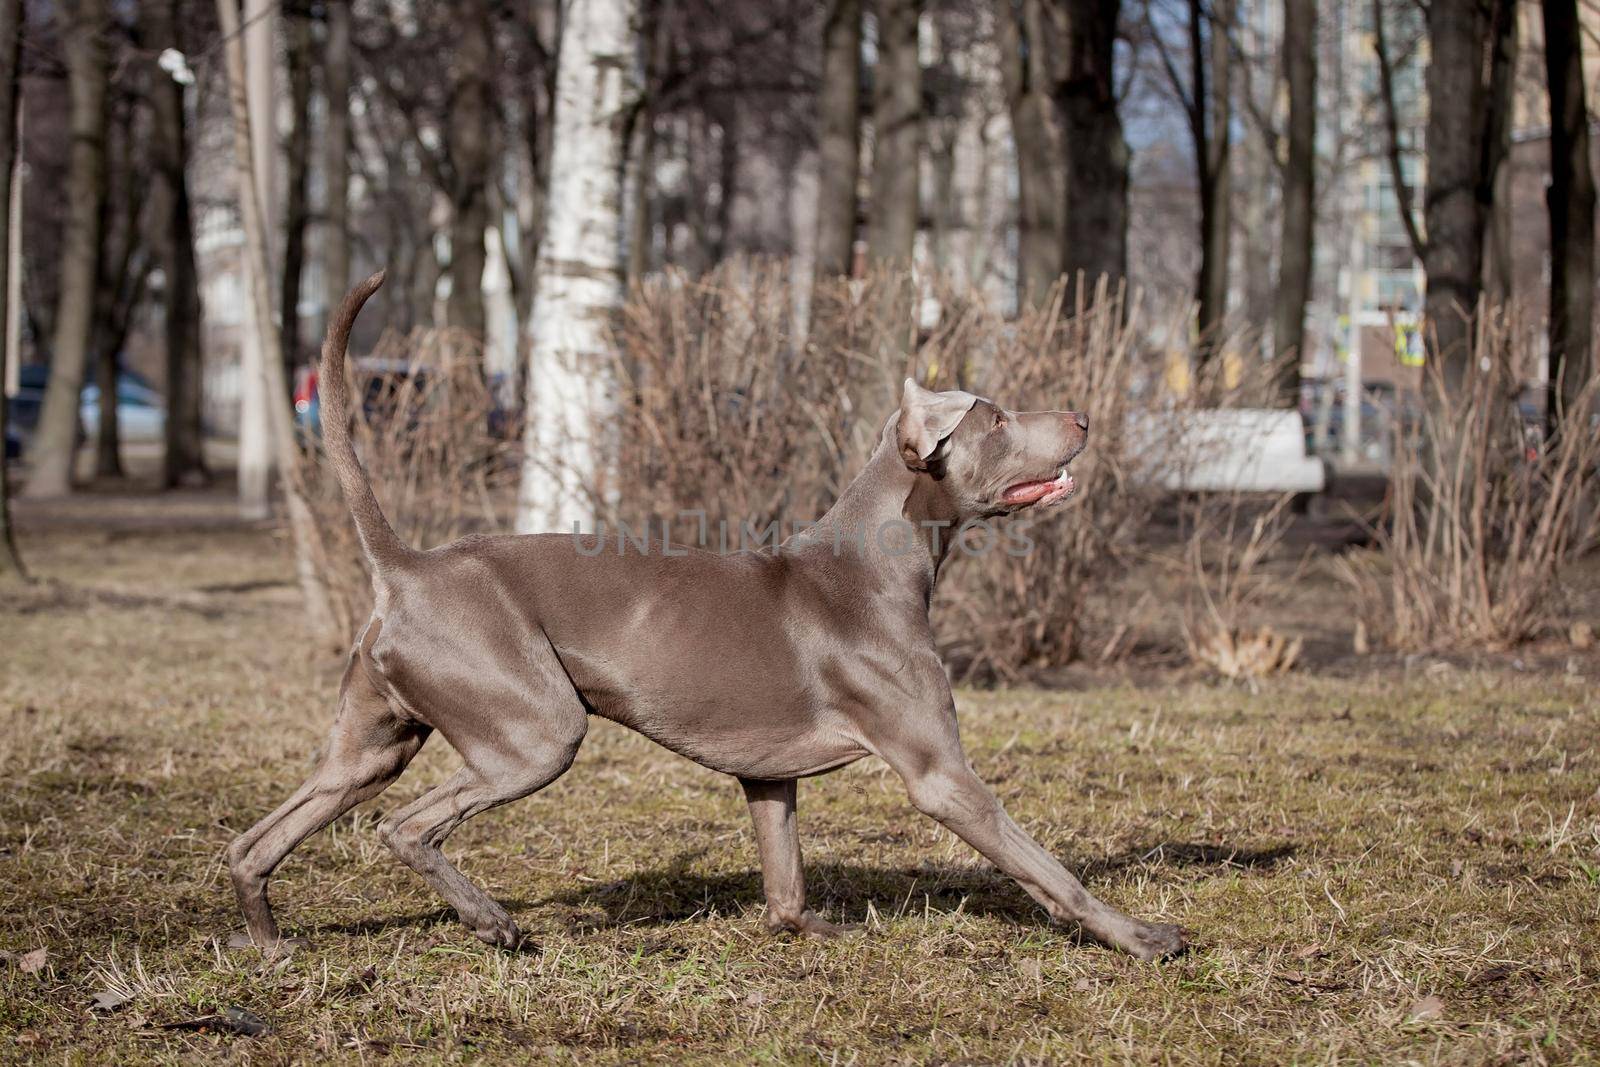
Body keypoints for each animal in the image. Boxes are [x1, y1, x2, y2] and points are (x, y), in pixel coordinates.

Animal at [232, 271, 1196, 966]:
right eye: (995, 418)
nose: (1084, 416)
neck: (878, 564)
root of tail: (409, 566)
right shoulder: (941, 775)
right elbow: (1047, 868)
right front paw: (1141, 936)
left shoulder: (769, 778)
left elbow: (787, 884)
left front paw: (814, 929)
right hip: (535, 730)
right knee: (405, 827)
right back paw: (492, 922)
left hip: (374, 743)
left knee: (258, 838)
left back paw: (272, 944)